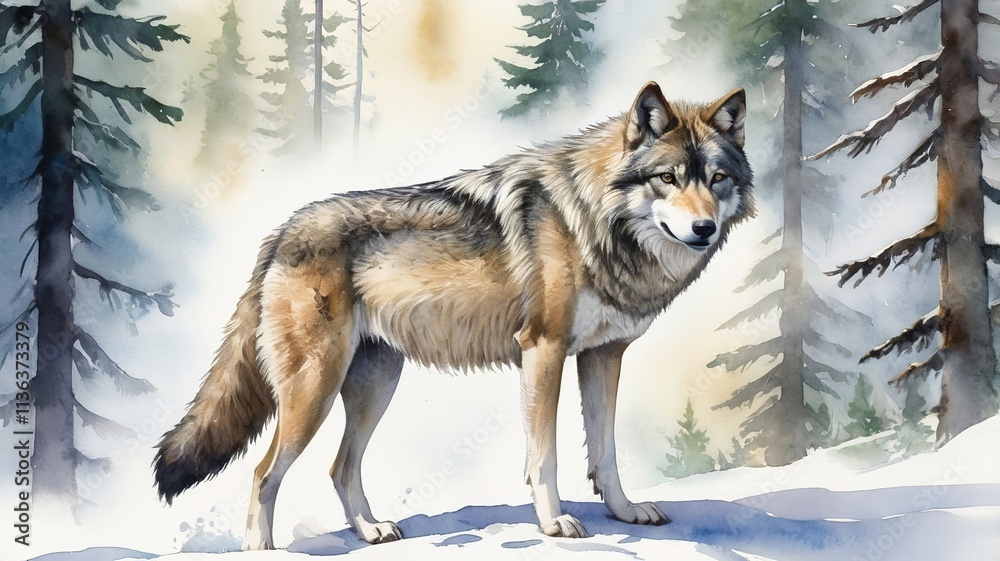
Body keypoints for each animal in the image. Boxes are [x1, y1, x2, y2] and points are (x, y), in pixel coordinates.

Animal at [154, 81, 753, 549]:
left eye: (717, 179)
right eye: (668, 178)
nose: (703, 228)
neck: (593, 220)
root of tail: (280, 233)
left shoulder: (604, 356)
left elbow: (605, 453)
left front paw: (625, 512)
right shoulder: (543, 350)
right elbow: (545, 455)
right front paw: (554, 522)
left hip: (373, 387)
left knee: (339, 468)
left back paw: (371, 531)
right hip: (314, 390)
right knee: (262, 474)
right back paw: (265, 549)